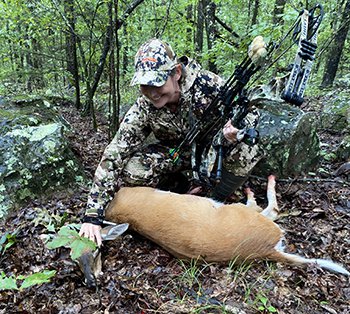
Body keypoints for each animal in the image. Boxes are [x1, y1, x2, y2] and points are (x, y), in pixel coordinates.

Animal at [78, 175, 348, 288]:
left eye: (99, 250)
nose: (91, 281)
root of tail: (268, 250)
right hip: (246, 214)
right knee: (270, 209)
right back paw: (258, 187)